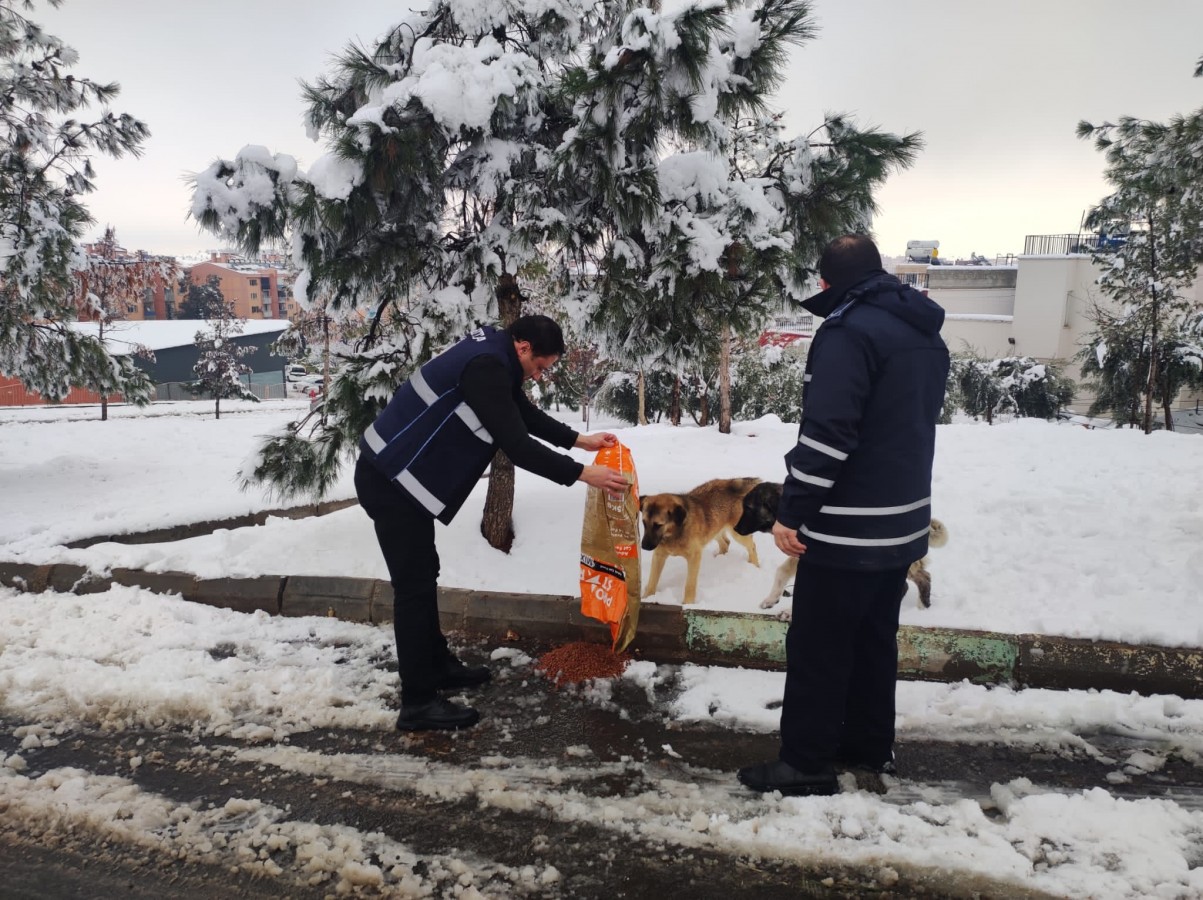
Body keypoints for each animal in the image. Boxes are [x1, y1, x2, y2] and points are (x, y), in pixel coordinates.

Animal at [731, 486, 947, 611]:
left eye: (748, 508)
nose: (735, 529)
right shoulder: (799, 555)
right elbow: (782, 572)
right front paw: (772, 599)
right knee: (921, 576)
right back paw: (923, 605)